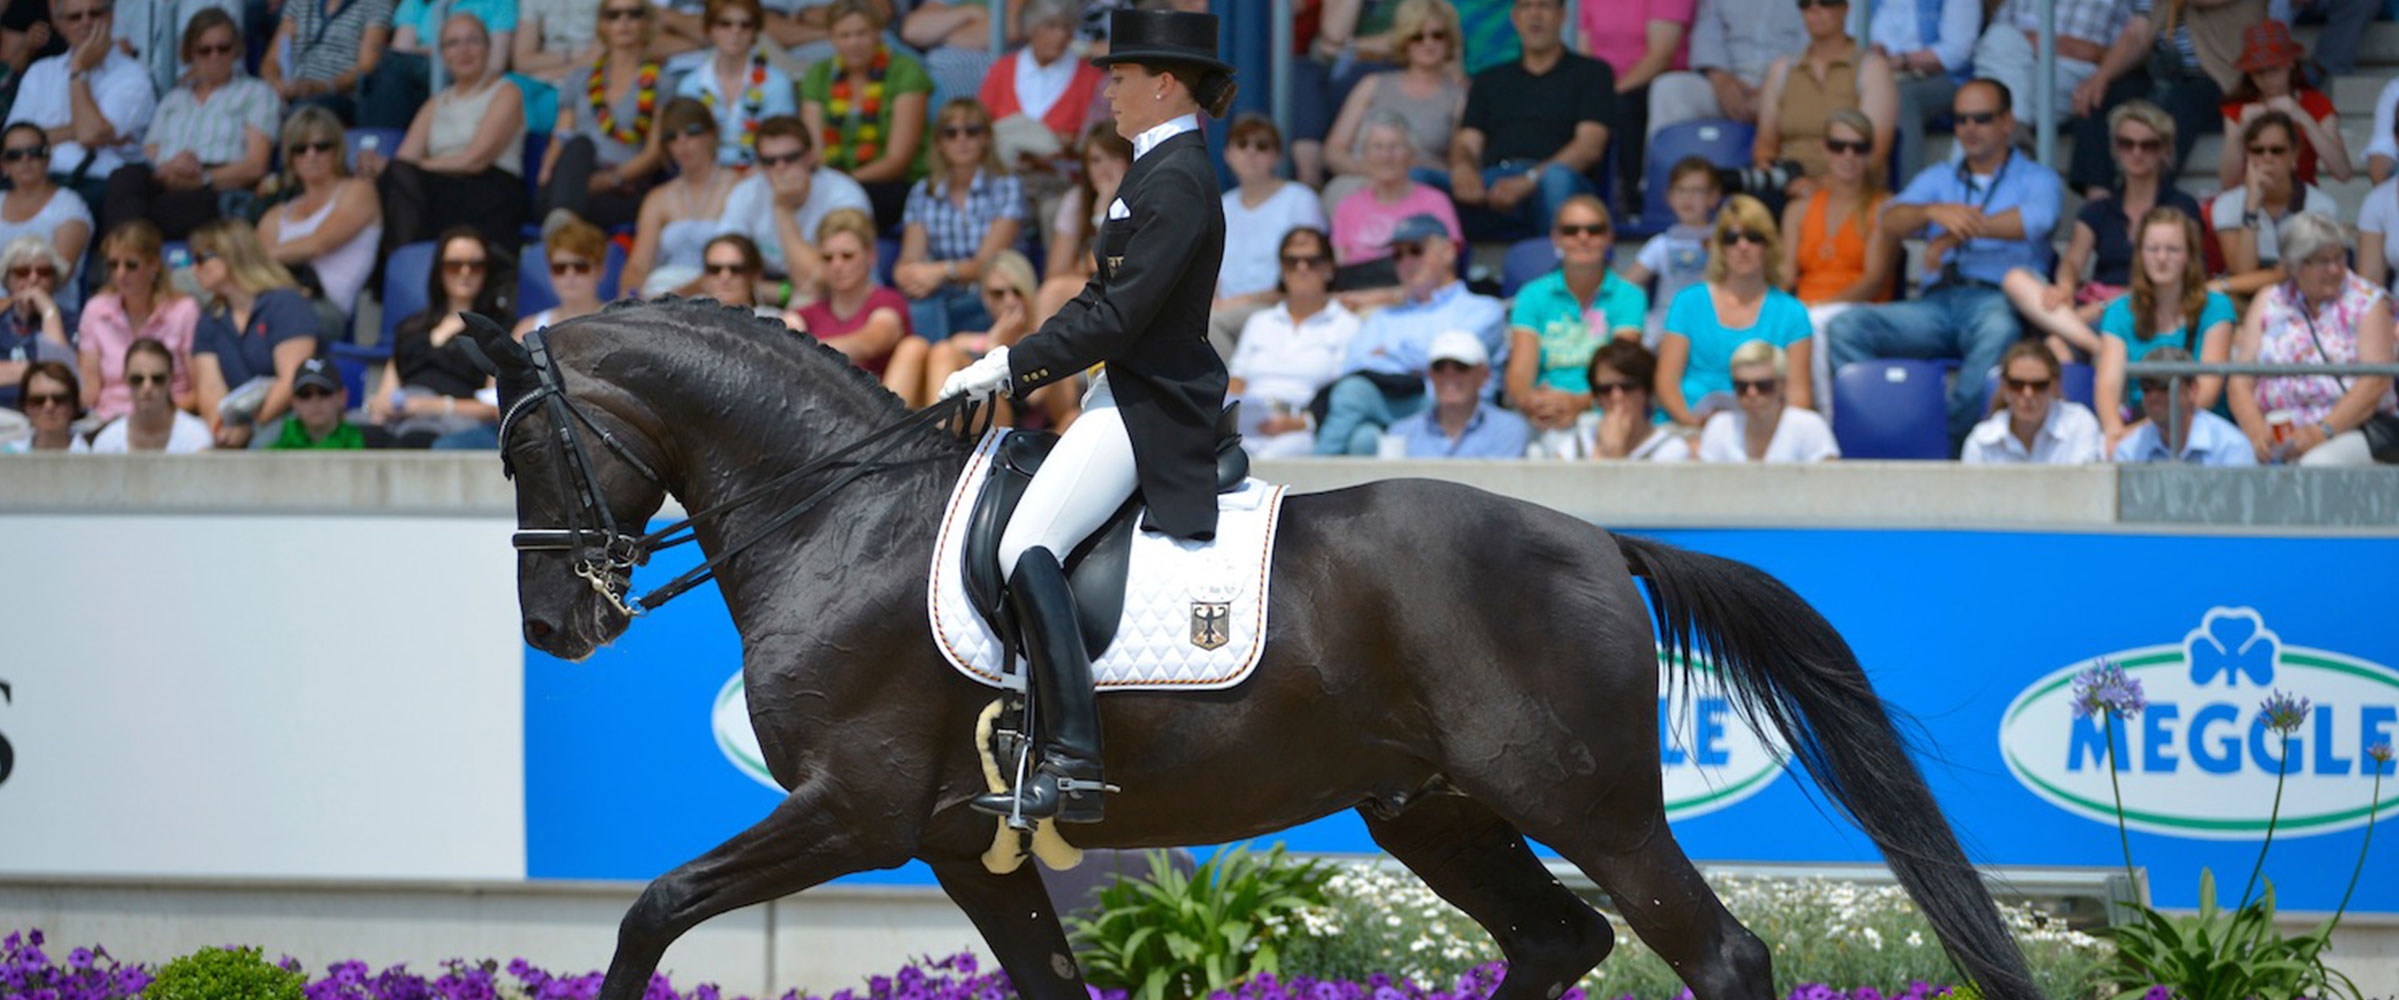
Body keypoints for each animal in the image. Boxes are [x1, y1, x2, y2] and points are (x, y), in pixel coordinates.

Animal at [467, 299, 2043, 997]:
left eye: (525, 445)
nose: (555, 626)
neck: (839, 518)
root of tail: (1599, 542)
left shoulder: (851, 810)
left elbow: (651, 912)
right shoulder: (952, 838)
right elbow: (1053, 985)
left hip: (1580, 797)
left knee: (1713, 954)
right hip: (1432, 809)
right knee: (1559, 942)